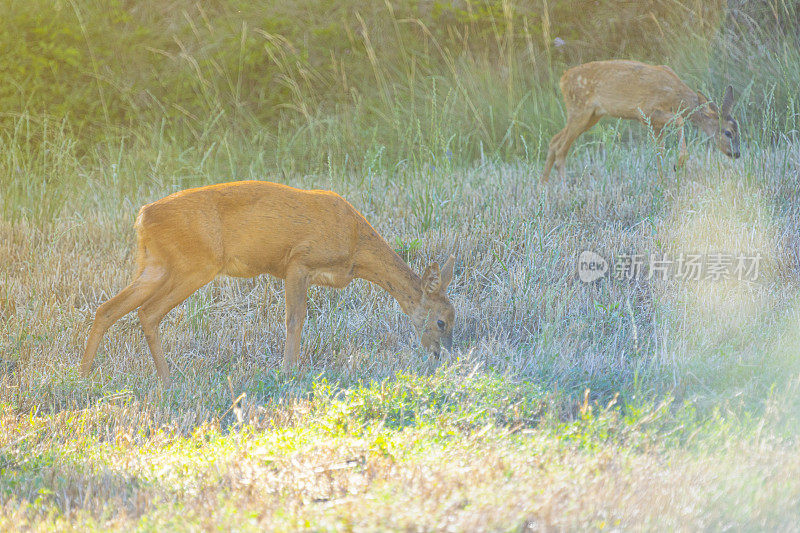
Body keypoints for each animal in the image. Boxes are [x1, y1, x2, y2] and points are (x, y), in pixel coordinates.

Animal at [80, 181, 456, 384]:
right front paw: (289, 370)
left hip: (155, 265)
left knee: (107, 309)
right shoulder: (298, 261)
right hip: (195, 264)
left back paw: (83, 375)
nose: (441, 354)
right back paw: (169, 380)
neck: (355, 245)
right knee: (148, 312)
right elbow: (295, 319)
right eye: (441, 321)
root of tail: (143, 216)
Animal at [540, 59, 740, 181]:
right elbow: (680, 121)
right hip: (579, 109)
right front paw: (678, 164)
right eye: (728, 132)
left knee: (554, 140)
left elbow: (659, 151)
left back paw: (544, 186)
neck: (675, 95)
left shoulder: (656, 124)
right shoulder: (647, 111)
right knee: (561, 148)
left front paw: (663, 181)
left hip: (592, 115)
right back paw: (563, 190)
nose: (736, 153)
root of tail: (562, 80)